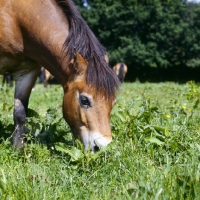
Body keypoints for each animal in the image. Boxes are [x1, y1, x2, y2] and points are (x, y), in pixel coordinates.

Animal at [0, 0, 119, 152]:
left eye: (113, 103)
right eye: (84, 100)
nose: (100, 147)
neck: (15, 19)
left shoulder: (27, 73)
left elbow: (20, 113)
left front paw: (18, 149)